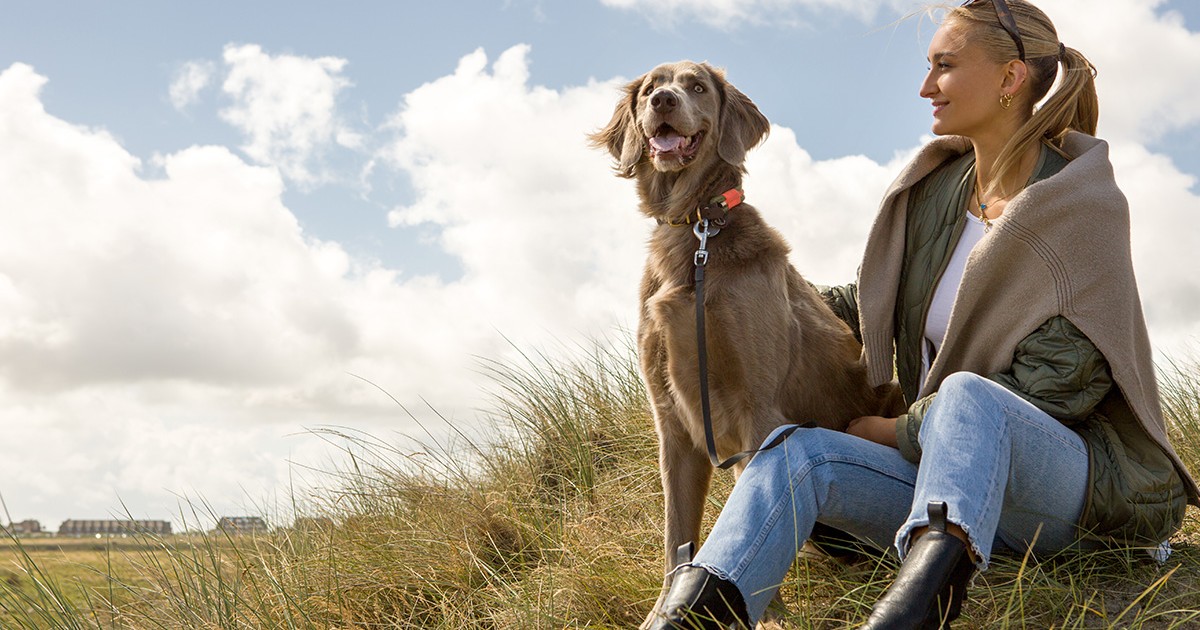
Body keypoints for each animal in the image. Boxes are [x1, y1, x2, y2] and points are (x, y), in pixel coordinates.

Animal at [585, 60, 902, 624]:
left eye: (696, 86)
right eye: (650, 89)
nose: (663, 102)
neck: (696, 234)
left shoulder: (759, 410)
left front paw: (769, 616)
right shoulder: (672, 422)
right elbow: (676, 536)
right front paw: (663, 613)